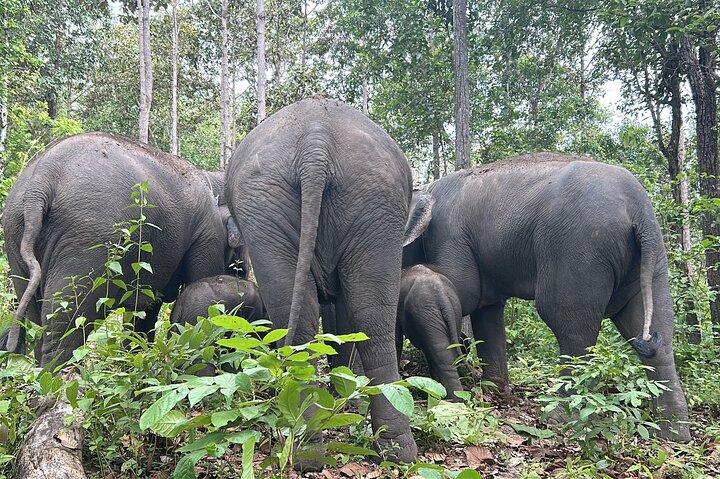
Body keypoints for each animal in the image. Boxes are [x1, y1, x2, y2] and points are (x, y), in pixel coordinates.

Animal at [1, 132, 237, 367]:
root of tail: (41, 179)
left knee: (36, 316)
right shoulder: (208, 233)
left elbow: (145, 308)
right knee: (66, 320)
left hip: (15, 233)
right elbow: (202, 289)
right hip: (90, 238)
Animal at [403, 152, 691, 442]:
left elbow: (466, 292)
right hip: (650, 260)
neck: (427, 190)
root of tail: (639, 211)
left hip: (579, 249)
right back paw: (673, 435)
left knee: (571, 327)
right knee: (656, 331)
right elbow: (488, 310)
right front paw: (495, 391)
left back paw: (561, 417)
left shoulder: (449, 237)